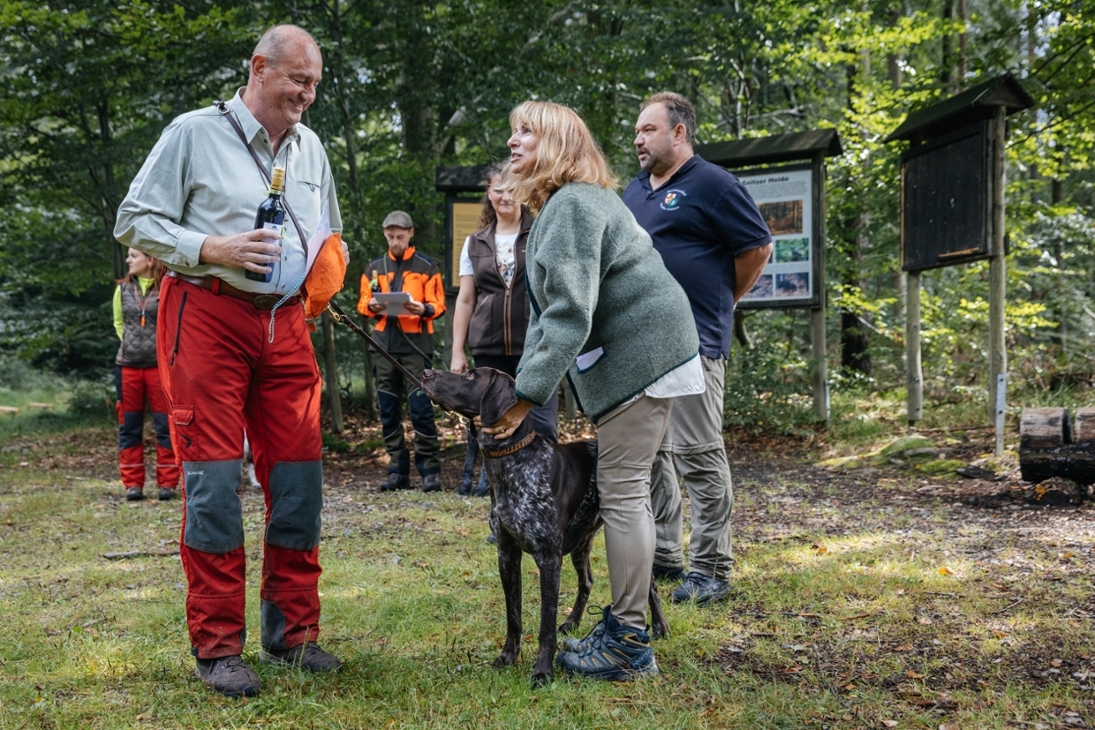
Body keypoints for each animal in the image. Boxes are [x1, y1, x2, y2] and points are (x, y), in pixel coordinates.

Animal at [416, 372, 661, 687]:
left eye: (471, 375)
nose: (426, 374)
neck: (511, 464)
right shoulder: (507, 555)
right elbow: (513, 616)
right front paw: (508, 657)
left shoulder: (548, 559)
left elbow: (546, 626)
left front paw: (543, 671)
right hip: (580, 541)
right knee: (587, 581)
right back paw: (572, 622)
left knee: (649, 585)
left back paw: (660, 628)